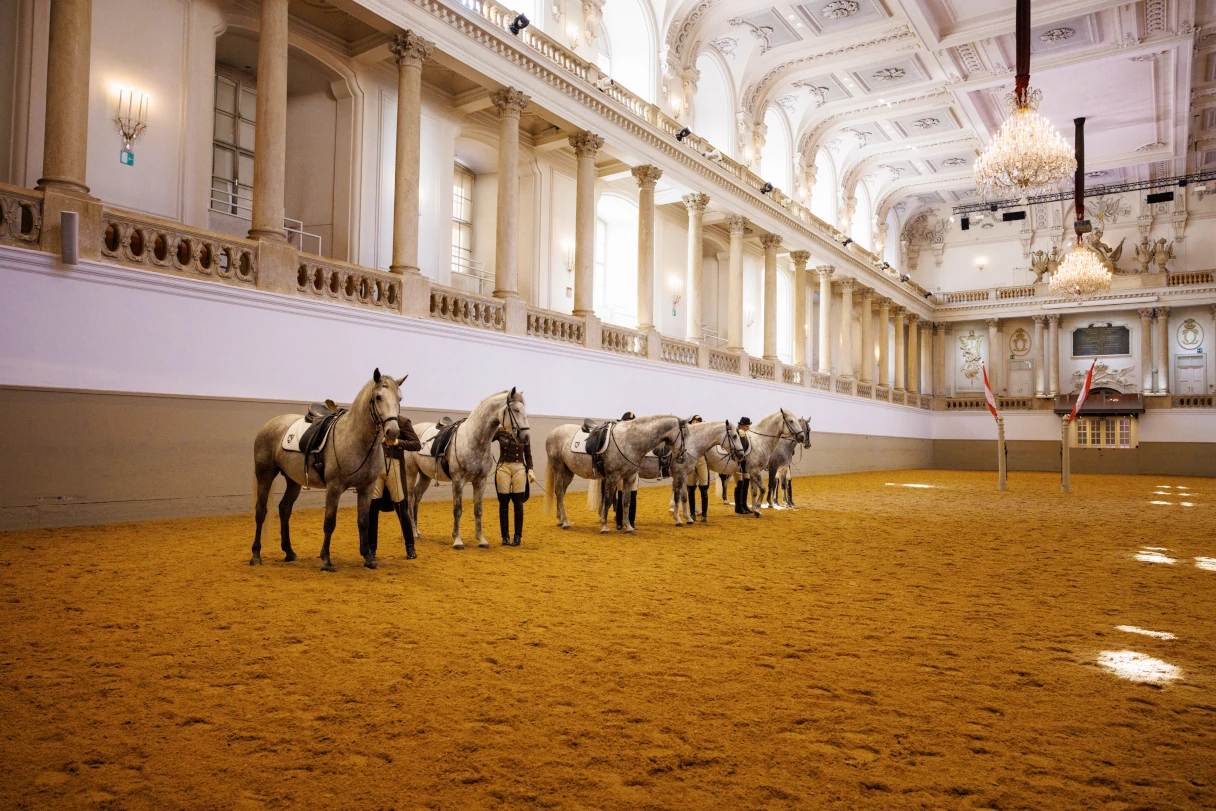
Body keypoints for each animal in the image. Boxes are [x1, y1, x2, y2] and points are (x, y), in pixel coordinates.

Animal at [250, 367, 403, 571]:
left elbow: (363, 521)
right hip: (265, 474)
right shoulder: (334, 487)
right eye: (378, 397)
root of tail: (270, 424)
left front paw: (368, 558)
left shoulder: (366, 488)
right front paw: (326, 560)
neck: (355, 439)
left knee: (284, 509)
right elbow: (329, 522)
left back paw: (289, 552)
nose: (393, 432)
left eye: (399, 398)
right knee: (261, 511)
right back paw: (256, 555)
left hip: (293, 480)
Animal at [401, 389, 530, 552]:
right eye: (516, 410)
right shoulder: (458, 481)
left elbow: (478, 510)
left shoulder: (480, 481)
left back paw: (417, 531)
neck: (473, 439)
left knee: (417, 498)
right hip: (411, 472)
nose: (526, 437)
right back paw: (413, 531)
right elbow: (457, 510)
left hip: (425, 475)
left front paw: (481, 539)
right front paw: (457, 540)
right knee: (411, 499)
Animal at [547, 415, 690, 534]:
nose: (683, 457)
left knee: (560, 493)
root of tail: (553, 433)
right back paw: (565, 522)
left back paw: (560, 520)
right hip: (558, 469)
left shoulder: (629, 477)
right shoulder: (612, 476)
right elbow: (609, 500)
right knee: (559, 492)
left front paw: (628, 527)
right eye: (684, 435)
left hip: (568, 472)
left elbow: (626, 501)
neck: (629, 441)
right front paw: (605, 526)